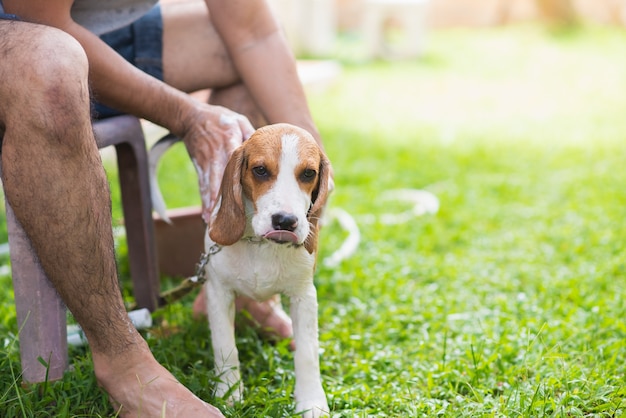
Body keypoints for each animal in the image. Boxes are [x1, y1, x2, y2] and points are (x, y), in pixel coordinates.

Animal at [205, 122, 332, 416]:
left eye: (308, 173)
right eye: (260, 170)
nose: (285, 221)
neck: (260, 245)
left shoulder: (304, 296)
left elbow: (307, 353)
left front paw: (311, 401)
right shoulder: (218, 293)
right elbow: (225, 347)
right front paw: (229, 392)